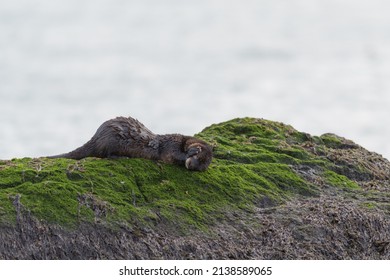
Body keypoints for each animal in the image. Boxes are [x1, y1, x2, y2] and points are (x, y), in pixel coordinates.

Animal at [49, 115, 213, 171]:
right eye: (198, 156)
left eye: (201, 166)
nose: (191, 165)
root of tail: (96, 137)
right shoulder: (170, 146)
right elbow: (174, 155)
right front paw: (188, 153)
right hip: (112, 140)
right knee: (107, 154)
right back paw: (122, 157)